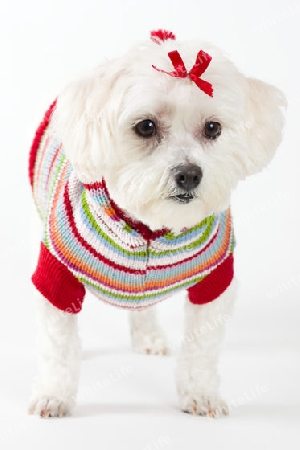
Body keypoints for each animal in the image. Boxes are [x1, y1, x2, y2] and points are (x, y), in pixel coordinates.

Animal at [28, 30, 286, 418]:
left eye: (213, 128)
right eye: (146, 126)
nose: (189, 174)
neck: (150, 230)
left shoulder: (214, 282)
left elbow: (201, 349)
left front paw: (200, 393)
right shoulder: (57, 278)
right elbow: (58, 348)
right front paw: (54, 396)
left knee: (143, 310)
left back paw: (147, 336)